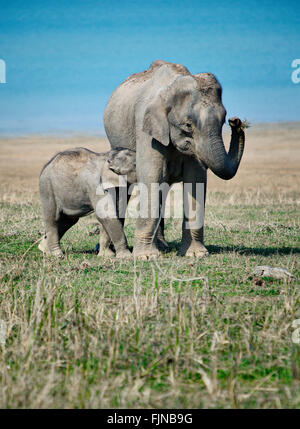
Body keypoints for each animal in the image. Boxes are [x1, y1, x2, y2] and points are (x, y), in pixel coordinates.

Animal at [103, 59, 244, 258]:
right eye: (188, 125)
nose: (236, 121)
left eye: (223, 120)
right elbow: (151, 177)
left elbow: (196, 181)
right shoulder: (146, 129)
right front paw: (146, 257)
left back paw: (162, 246)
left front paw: (196, 254)